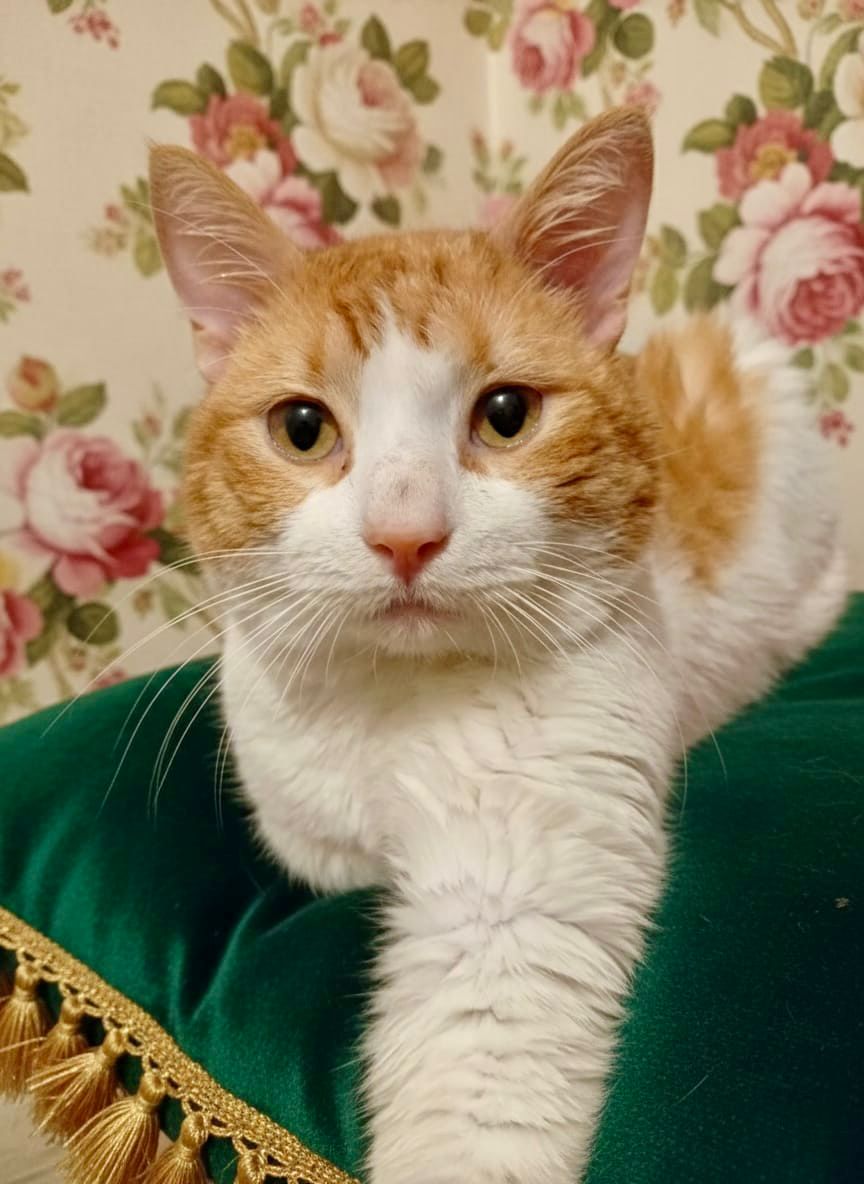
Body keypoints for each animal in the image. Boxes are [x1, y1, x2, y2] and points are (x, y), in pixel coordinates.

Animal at [149, 108, 846, 1184]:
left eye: (507, 414)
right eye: (303, 428)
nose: (405, 535)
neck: (392, 707)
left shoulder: (522, 880)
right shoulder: (306, 832)